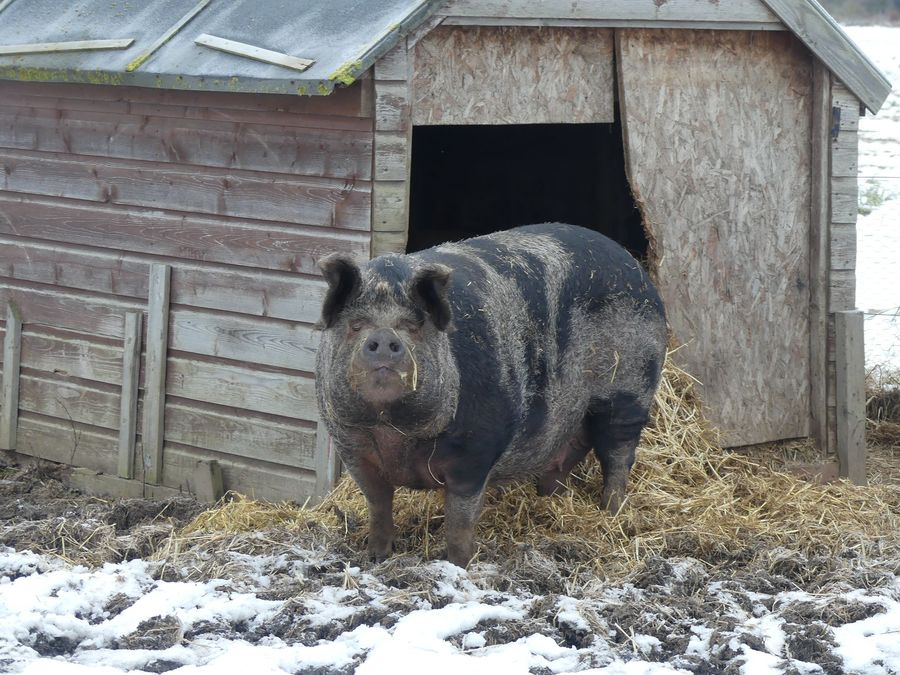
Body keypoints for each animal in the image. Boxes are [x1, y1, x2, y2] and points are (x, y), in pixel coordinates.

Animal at [314, 223, 667, 568]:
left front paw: (457, 565)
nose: (385, 338)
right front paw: (375, 557)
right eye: (356, 325)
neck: (394, 431)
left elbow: (460, 519)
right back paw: (550, 498)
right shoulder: (353, 447)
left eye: (413, 326)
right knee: (573, 449)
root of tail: (636, 268)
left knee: (618, 454)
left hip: (631, 389)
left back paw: (611, 511)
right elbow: (378, 505)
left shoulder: (476, 452)